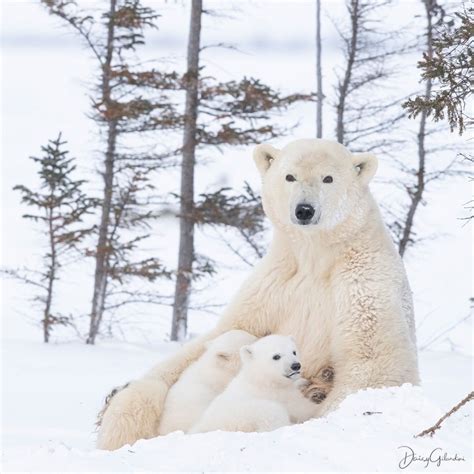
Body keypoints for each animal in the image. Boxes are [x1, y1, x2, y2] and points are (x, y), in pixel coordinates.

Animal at [191, 336, 320, 436]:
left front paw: (303, 382)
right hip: (246, 414)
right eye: (276, 356)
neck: (261, 377)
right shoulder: (278, 394)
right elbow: (302, 407)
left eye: (294, 352)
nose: (296, 365)